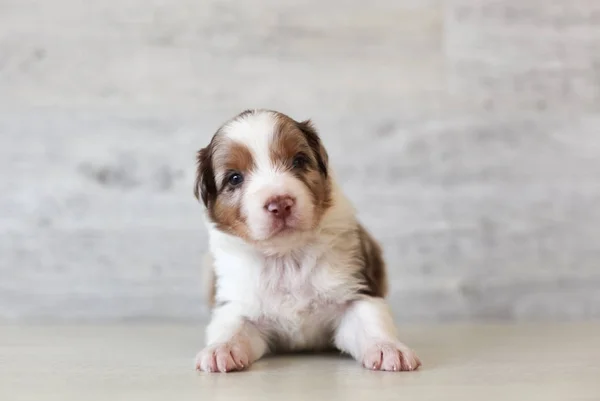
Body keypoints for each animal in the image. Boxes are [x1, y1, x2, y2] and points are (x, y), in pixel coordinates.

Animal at [195, 108, 420, 372]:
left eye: (299, 161)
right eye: (234, 178)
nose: (280, 203)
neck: (287, 257)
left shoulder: (356, 290)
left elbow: (369, 319)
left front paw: (388, 349)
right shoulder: (239, 302)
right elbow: (232, 326)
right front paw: (221, 349)